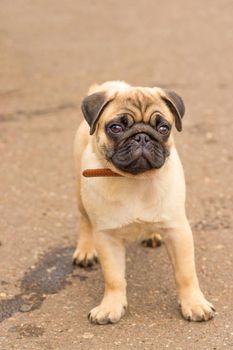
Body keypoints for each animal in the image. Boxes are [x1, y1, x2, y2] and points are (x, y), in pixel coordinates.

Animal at [72, 80, 215, 324]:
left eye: (164, 128)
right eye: (116, 128)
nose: (142, 137)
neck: (136, 180)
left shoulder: (178, 231)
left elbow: (186, 273)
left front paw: (194, 304)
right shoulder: (107, 237)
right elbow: (113, 277)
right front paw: (111, 306)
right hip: (80, 193)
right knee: (85, 221)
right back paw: (85, 250)